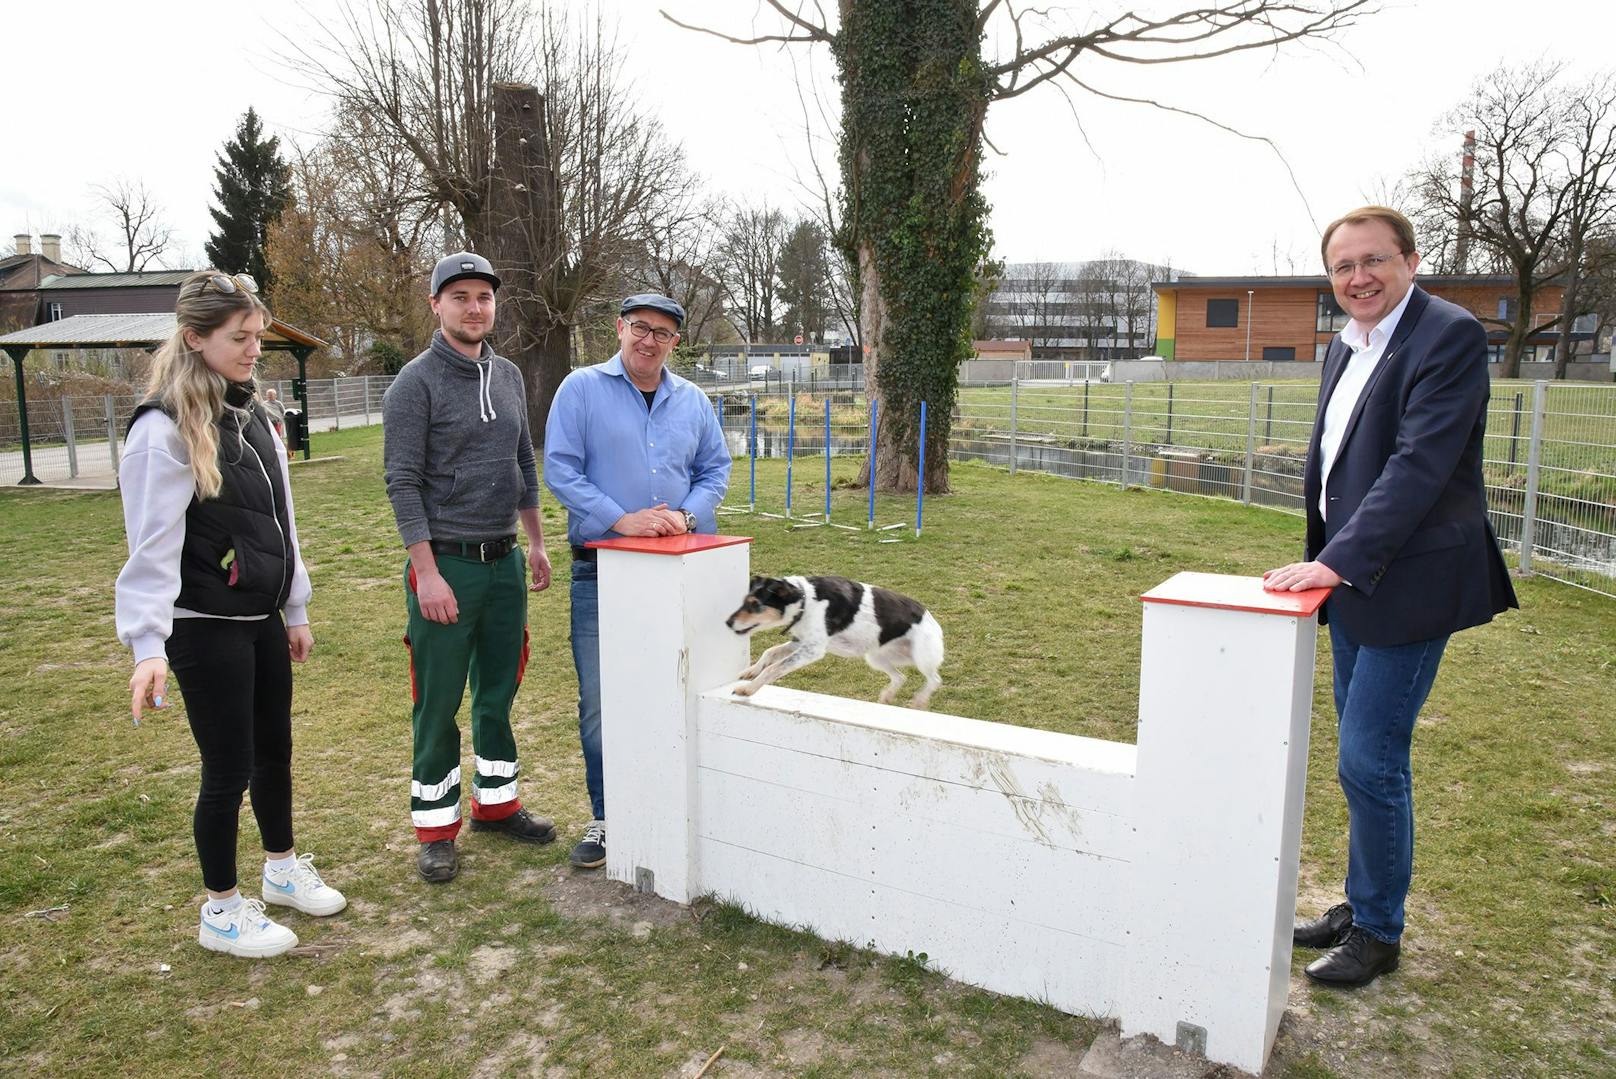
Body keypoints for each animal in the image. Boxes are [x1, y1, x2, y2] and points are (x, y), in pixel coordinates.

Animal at [723, 571, 943, 707]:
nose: (727, 622)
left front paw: (748, 689)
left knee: (934, 680)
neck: (804, 601)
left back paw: (919, 700)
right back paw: (887, 697)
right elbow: (770, 652)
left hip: (922, 658)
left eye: (755, 604)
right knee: (900, 677)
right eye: (744, 602)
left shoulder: (812, 650)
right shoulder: (801, 642)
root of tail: (932, 619)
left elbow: (774, 668)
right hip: (875, 658)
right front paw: (751, 671)